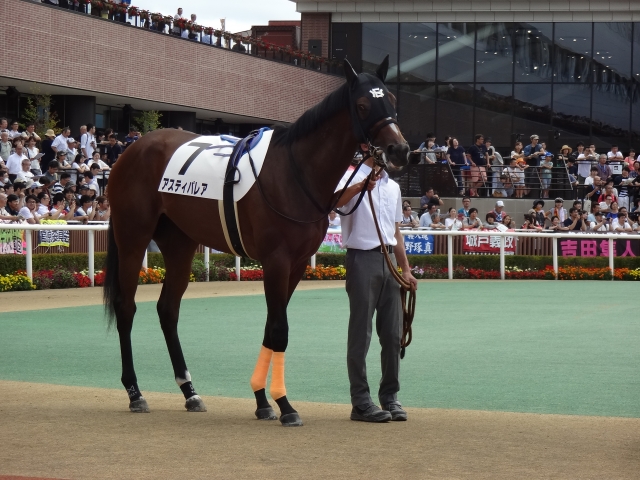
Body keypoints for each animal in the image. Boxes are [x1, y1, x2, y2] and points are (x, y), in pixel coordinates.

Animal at [102, 56, 410, 426]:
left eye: (391, 100)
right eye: (363, 105)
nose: (399, 150)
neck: (295, 172)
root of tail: (132, 149)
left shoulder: (296, 265)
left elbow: (270, 328)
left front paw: (263, 401)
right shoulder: (276, 260)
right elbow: (279, 330)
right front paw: (285, 406)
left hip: (180, 242)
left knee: (167, 309)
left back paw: (190, 391)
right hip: (133, 236)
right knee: (127, 307)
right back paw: (135, 392)